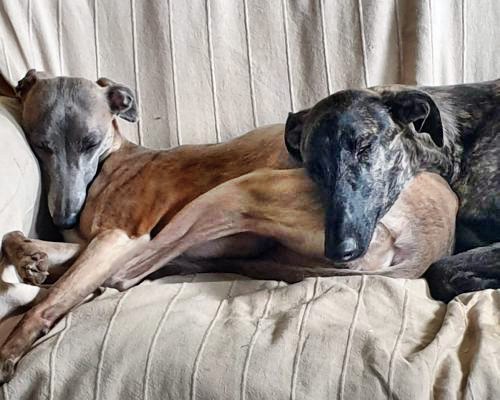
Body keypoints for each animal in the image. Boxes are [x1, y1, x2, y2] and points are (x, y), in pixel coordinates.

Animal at [0, 70, 457, 382]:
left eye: (90, 142)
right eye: (40, 144)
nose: (64, 216)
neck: (112, 163)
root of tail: (427, 244)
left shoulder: (118, 238)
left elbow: (59, 293)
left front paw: (11, 347)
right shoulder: (94, 242)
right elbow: (17, 239)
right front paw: (28, 257)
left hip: (233, 192)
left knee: (123, 276)